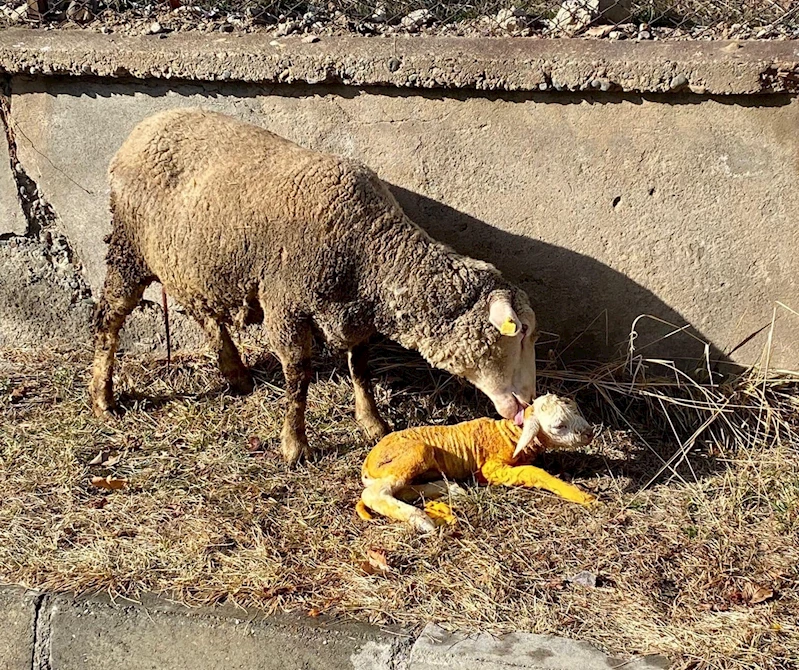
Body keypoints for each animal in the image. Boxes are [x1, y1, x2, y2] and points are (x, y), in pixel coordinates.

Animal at [90, 111, 540, 468]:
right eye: (518, 335)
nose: (529, 402)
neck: (370, 248)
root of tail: (146, 125)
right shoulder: (285, 306)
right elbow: (298, 377)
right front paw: (295, 445)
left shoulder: (354, 315)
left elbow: (361, 368)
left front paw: (372, 423)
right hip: (129, 249)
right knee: (109, 318)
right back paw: (102, 398)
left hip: (191, 261)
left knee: (204, 313)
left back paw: (236, 374)